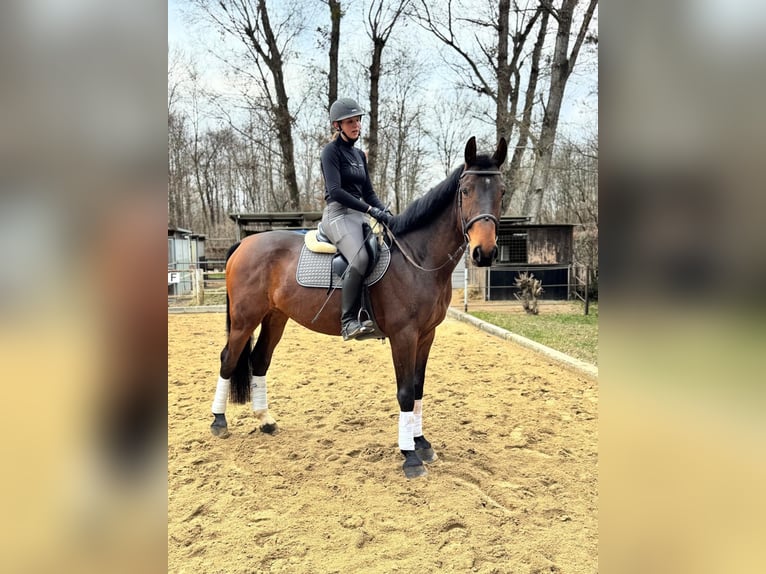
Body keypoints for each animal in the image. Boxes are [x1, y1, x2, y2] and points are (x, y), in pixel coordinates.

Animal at [213, 137, 508, 480]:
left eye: (501, 192)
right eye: (466, 190)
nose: (484, 252)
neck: (417, 259)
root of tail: (244, 244)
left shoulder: (426, 335)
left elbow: (418, 388)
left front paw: (421, 443)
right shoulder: (404, 336)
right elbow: (405, 392)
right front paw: (410, 457)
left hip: (275, 317)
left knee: (259, 361)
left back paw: (266, 421)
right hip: (245, 318)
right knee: (228, 359)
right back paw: (218, 422)